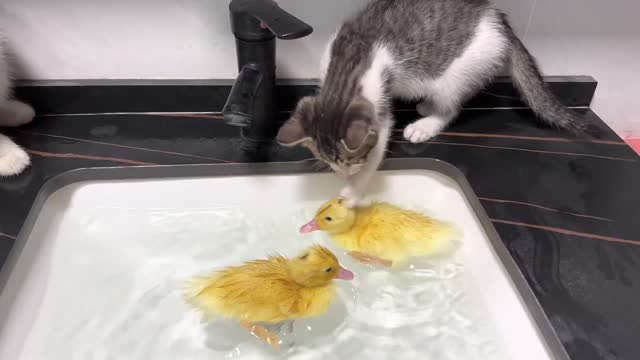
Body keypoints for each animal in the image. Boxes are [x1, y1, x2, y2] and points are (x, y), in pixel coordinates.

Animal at [278, 0, 588, 207]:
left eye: (352, 161)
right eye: (326, 160)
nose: (344, 173)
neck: (348, 63)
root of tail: (500, 21)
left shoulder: (379, 104)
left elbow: (380, 143)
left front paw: (353, 191)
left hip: (457, 74)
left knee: (451, 106)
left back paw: (426, 124)